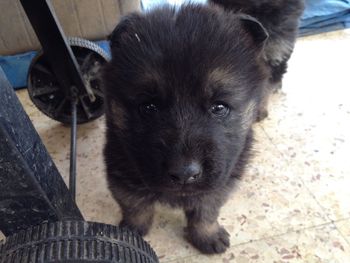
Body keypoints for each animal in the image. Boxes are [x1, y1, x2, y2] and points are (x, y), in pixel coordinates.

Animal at [102, 4, 270, 255]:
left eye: (219, 107)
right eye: (148, 107)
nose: (184, 174)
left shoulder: (220, 181)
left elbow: (206, 211)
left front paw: (207, 235)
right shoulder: (122, 171)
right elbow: (135, 206)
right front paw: (131, 232)